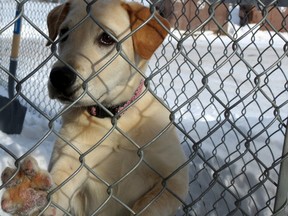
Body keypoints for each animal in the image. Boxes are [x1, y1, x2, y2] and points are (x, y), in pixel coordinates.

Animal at [0, 0, 189, 215]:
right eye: (63, 33)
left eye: (106, 38)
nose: (59, 77)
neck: (113, 118)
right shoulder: (71, 162)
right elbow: (53, 198)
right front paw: (28, 194)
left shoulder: (175, 179)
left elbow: (152, 206)